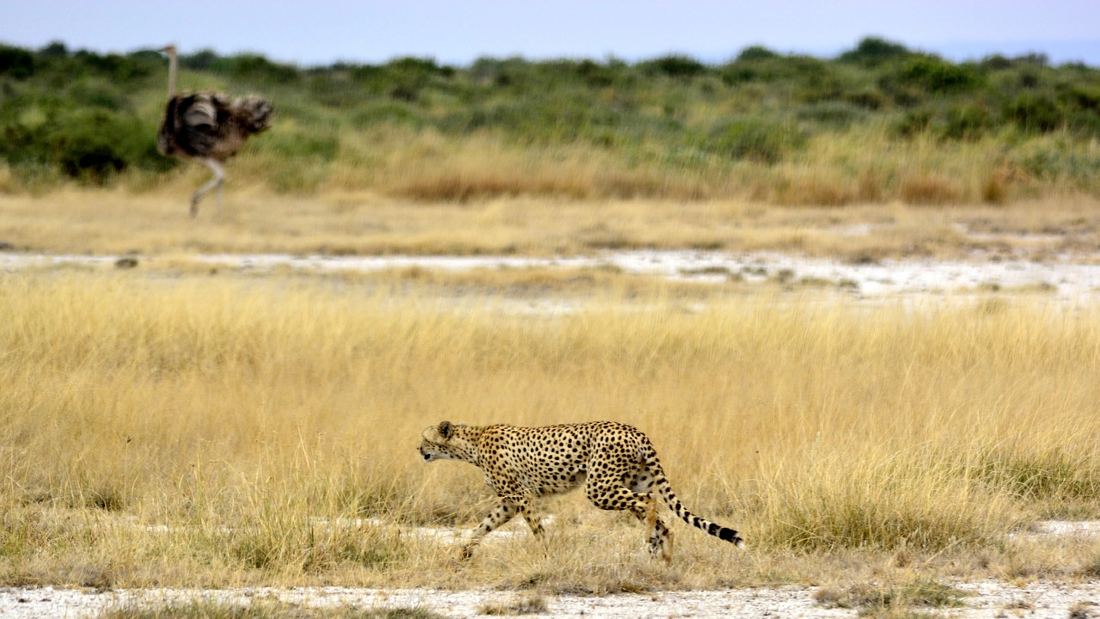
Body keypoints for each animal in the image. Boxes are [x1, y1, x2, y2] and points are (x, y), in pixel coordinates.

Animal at [415, 422, 743, 562]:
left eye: (425, 438)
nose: (418, 449)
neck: (471, 442)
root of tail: (635, 430)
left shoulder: (521, 496)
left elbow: (537, 530)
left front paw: (547, 556)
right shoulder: (509, 502)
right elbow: (482, 526)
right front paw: (462, 553)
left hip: (599, 488)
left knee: (650, 504)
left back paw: (651, 542)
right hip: (629, 482)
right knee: (661, 514)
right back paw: (663, 555)